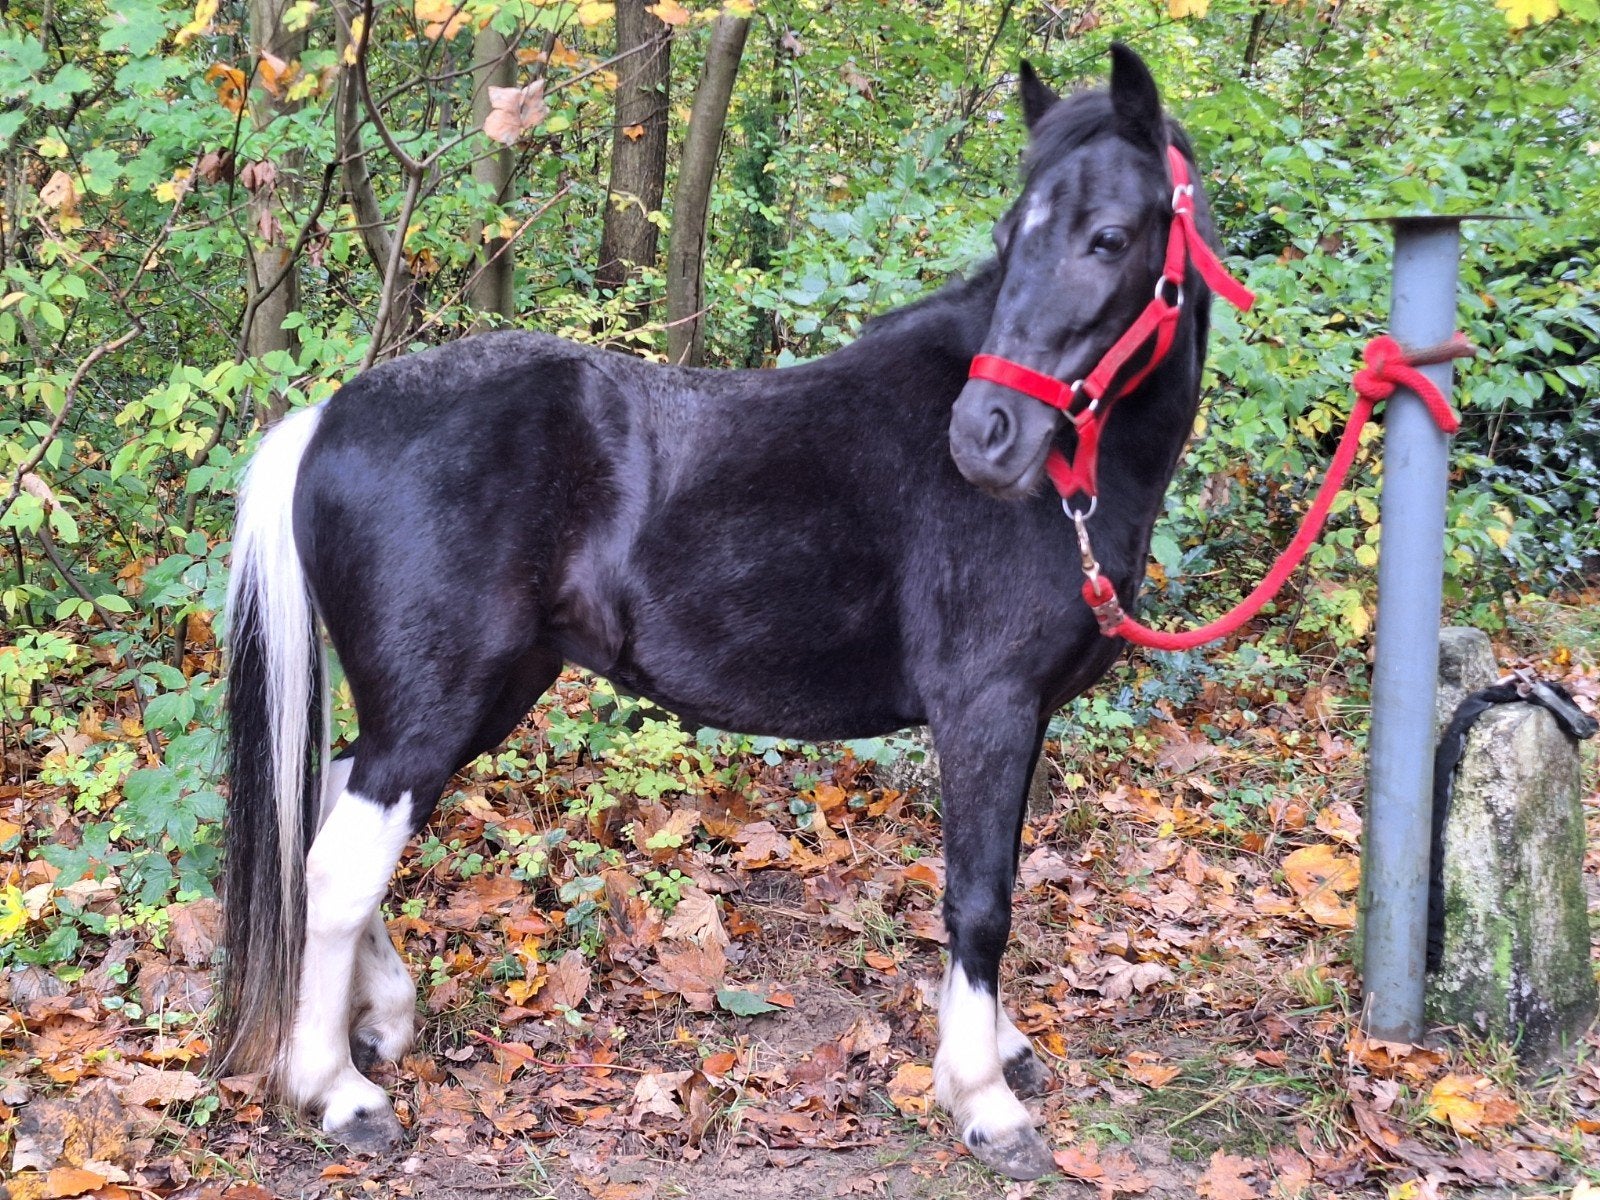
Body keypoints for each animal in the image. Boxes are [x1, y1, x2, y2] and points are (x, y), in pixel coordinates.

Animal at [218, 44, 1244, 1181]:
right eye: (1014, 232)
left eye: (1105, 237)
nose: (987, 434)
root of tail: (324, 419)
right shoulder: (988, 709)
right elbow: (979, 897)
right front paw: (984, 1097)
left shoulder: (1024, 719)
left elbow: (996, 873)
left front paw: (1002, 1049)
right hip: (436, 709)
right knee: (340, 867)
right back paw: (337, 1091)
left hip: (474, 697)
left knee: (338, 805)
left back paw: (385, 1017)